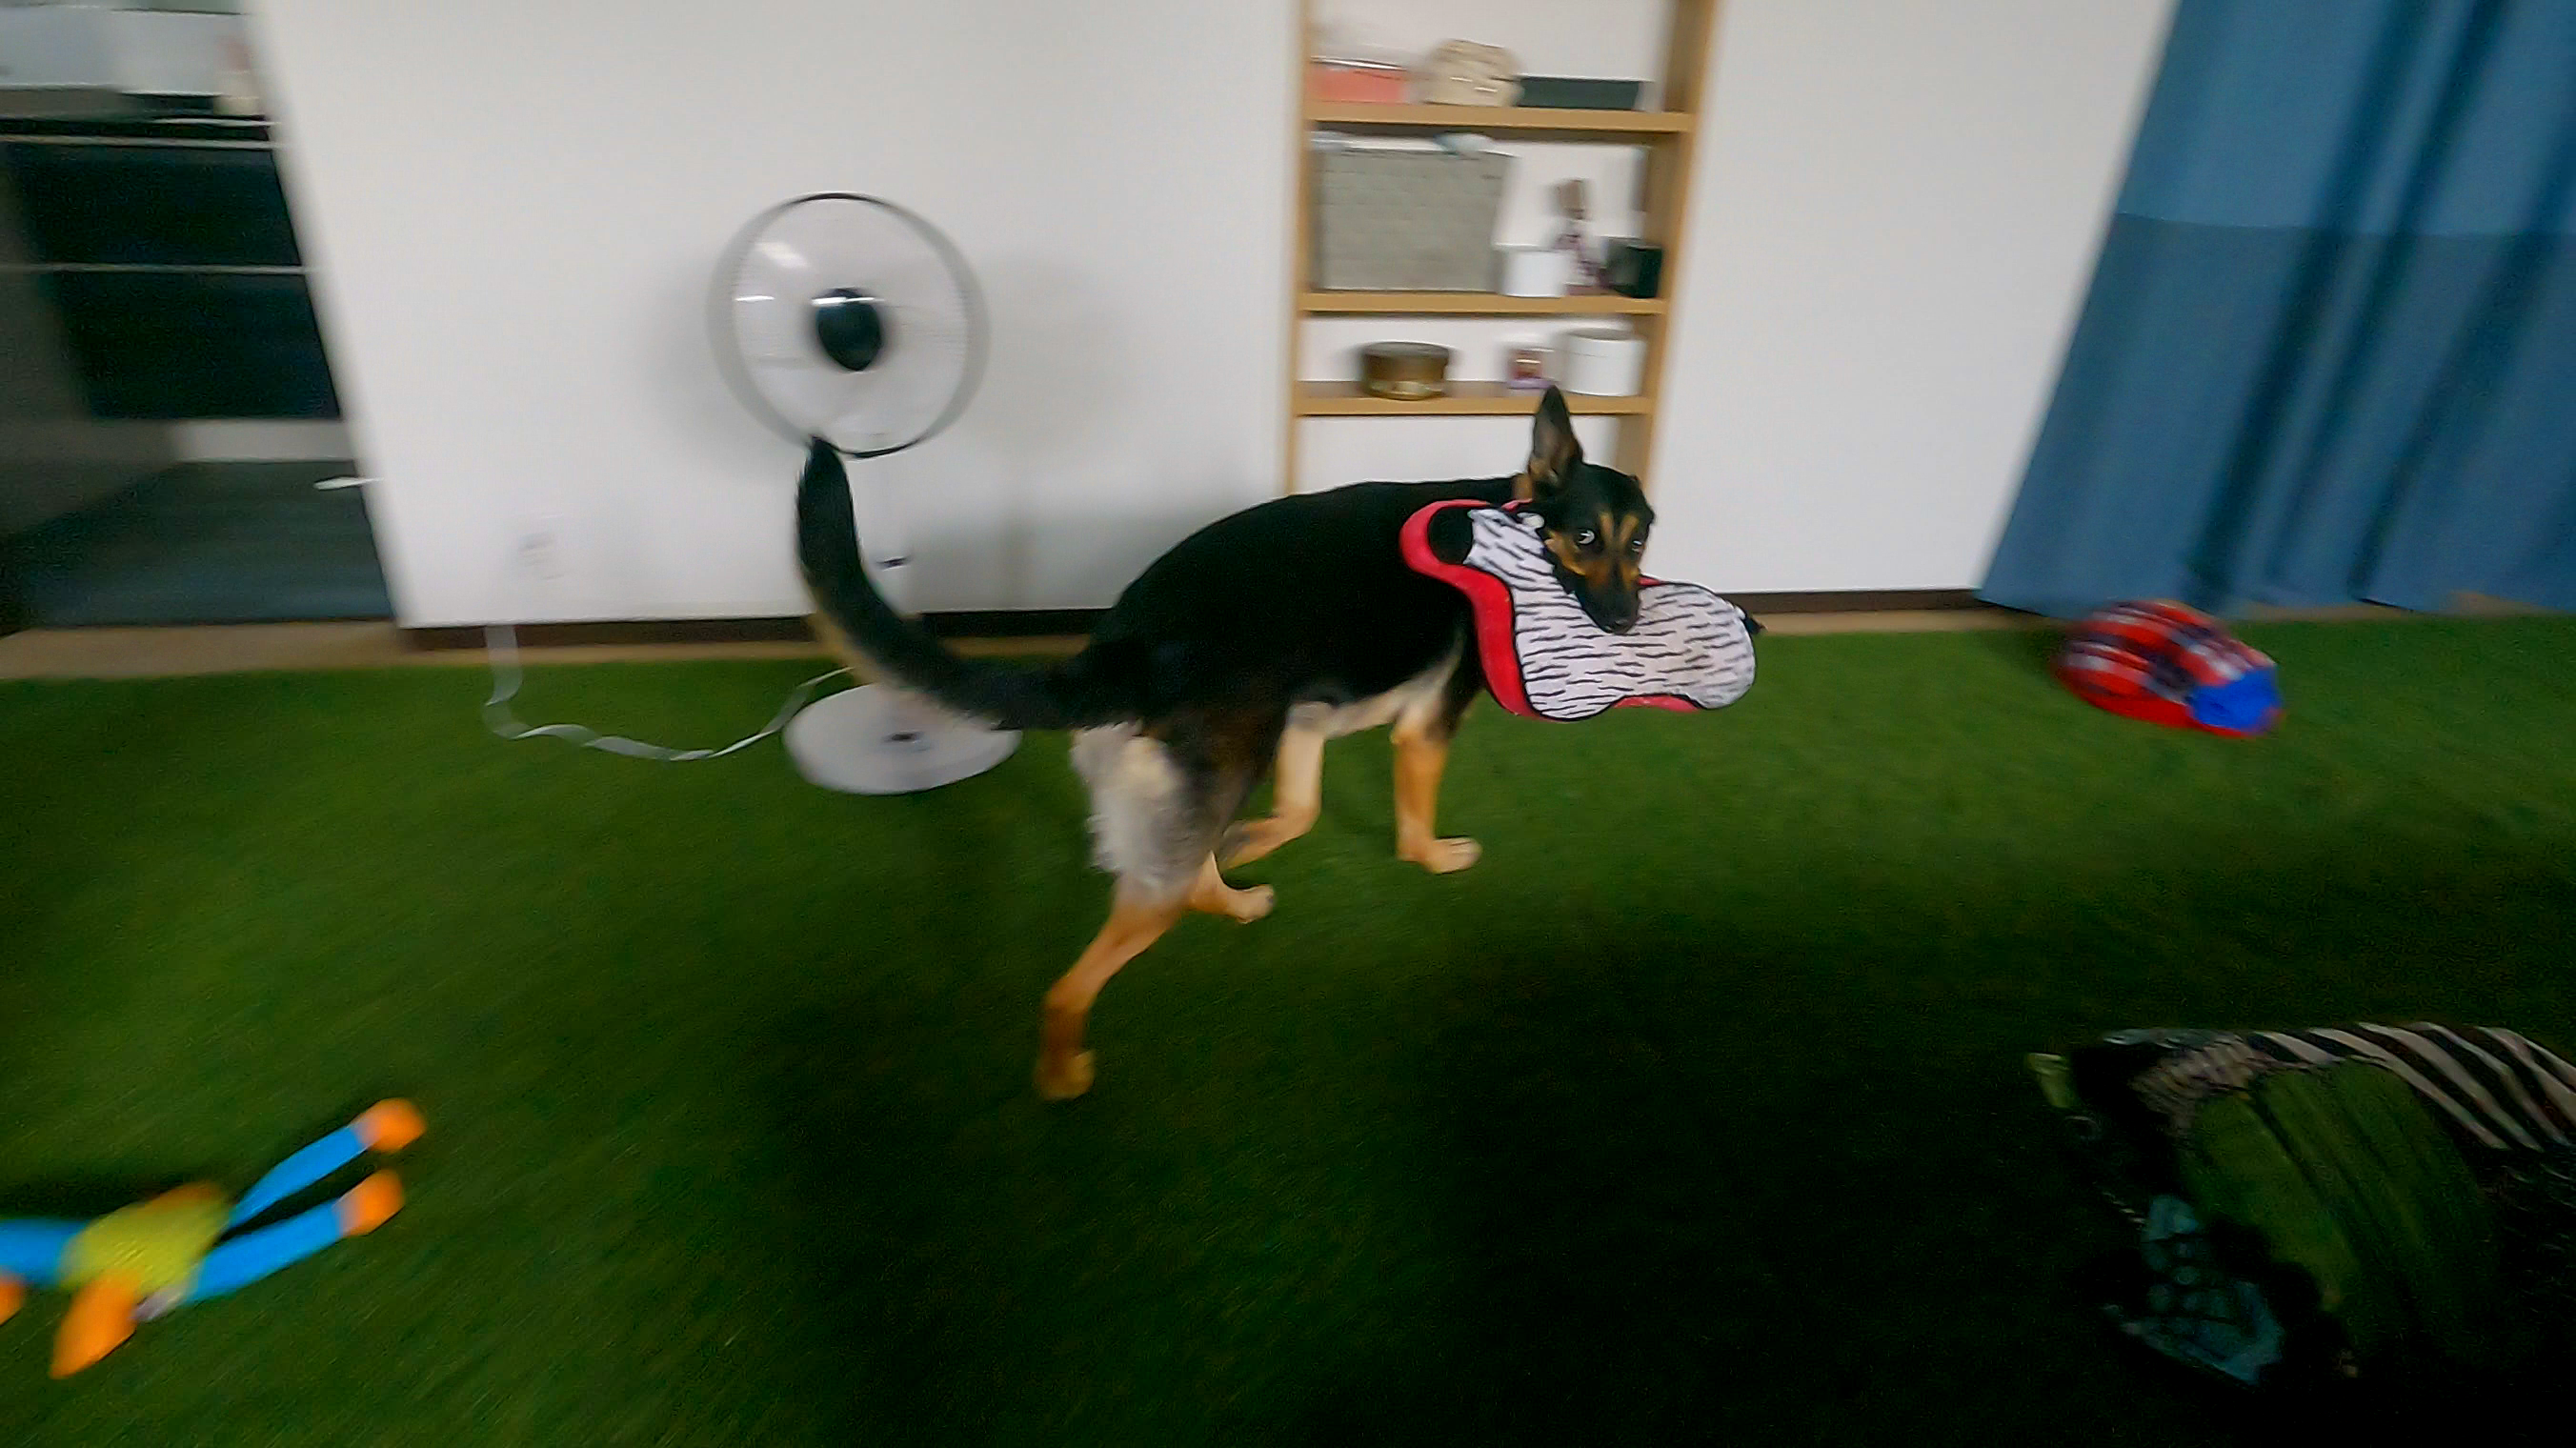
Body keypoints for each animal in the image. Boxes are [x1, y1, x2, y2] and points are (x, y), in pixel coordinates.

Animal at [796, 386, 1654, 1099]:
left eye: (1639, 544)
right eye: (1585, 537)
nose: (1624, 624)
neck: (1518, 518)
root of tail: (1125, 648)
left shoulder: (1304, 721)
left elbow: (1301, 812)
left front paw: (1255, 840)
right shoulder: (1423, 728)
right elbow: (1410, 829)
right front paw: (1436, 859)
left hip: (1224, 764)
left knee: (1191, 870)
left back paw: (1234, 897)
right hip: (1220, 780)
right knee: (1074, 983)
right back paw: (1062, 1070)